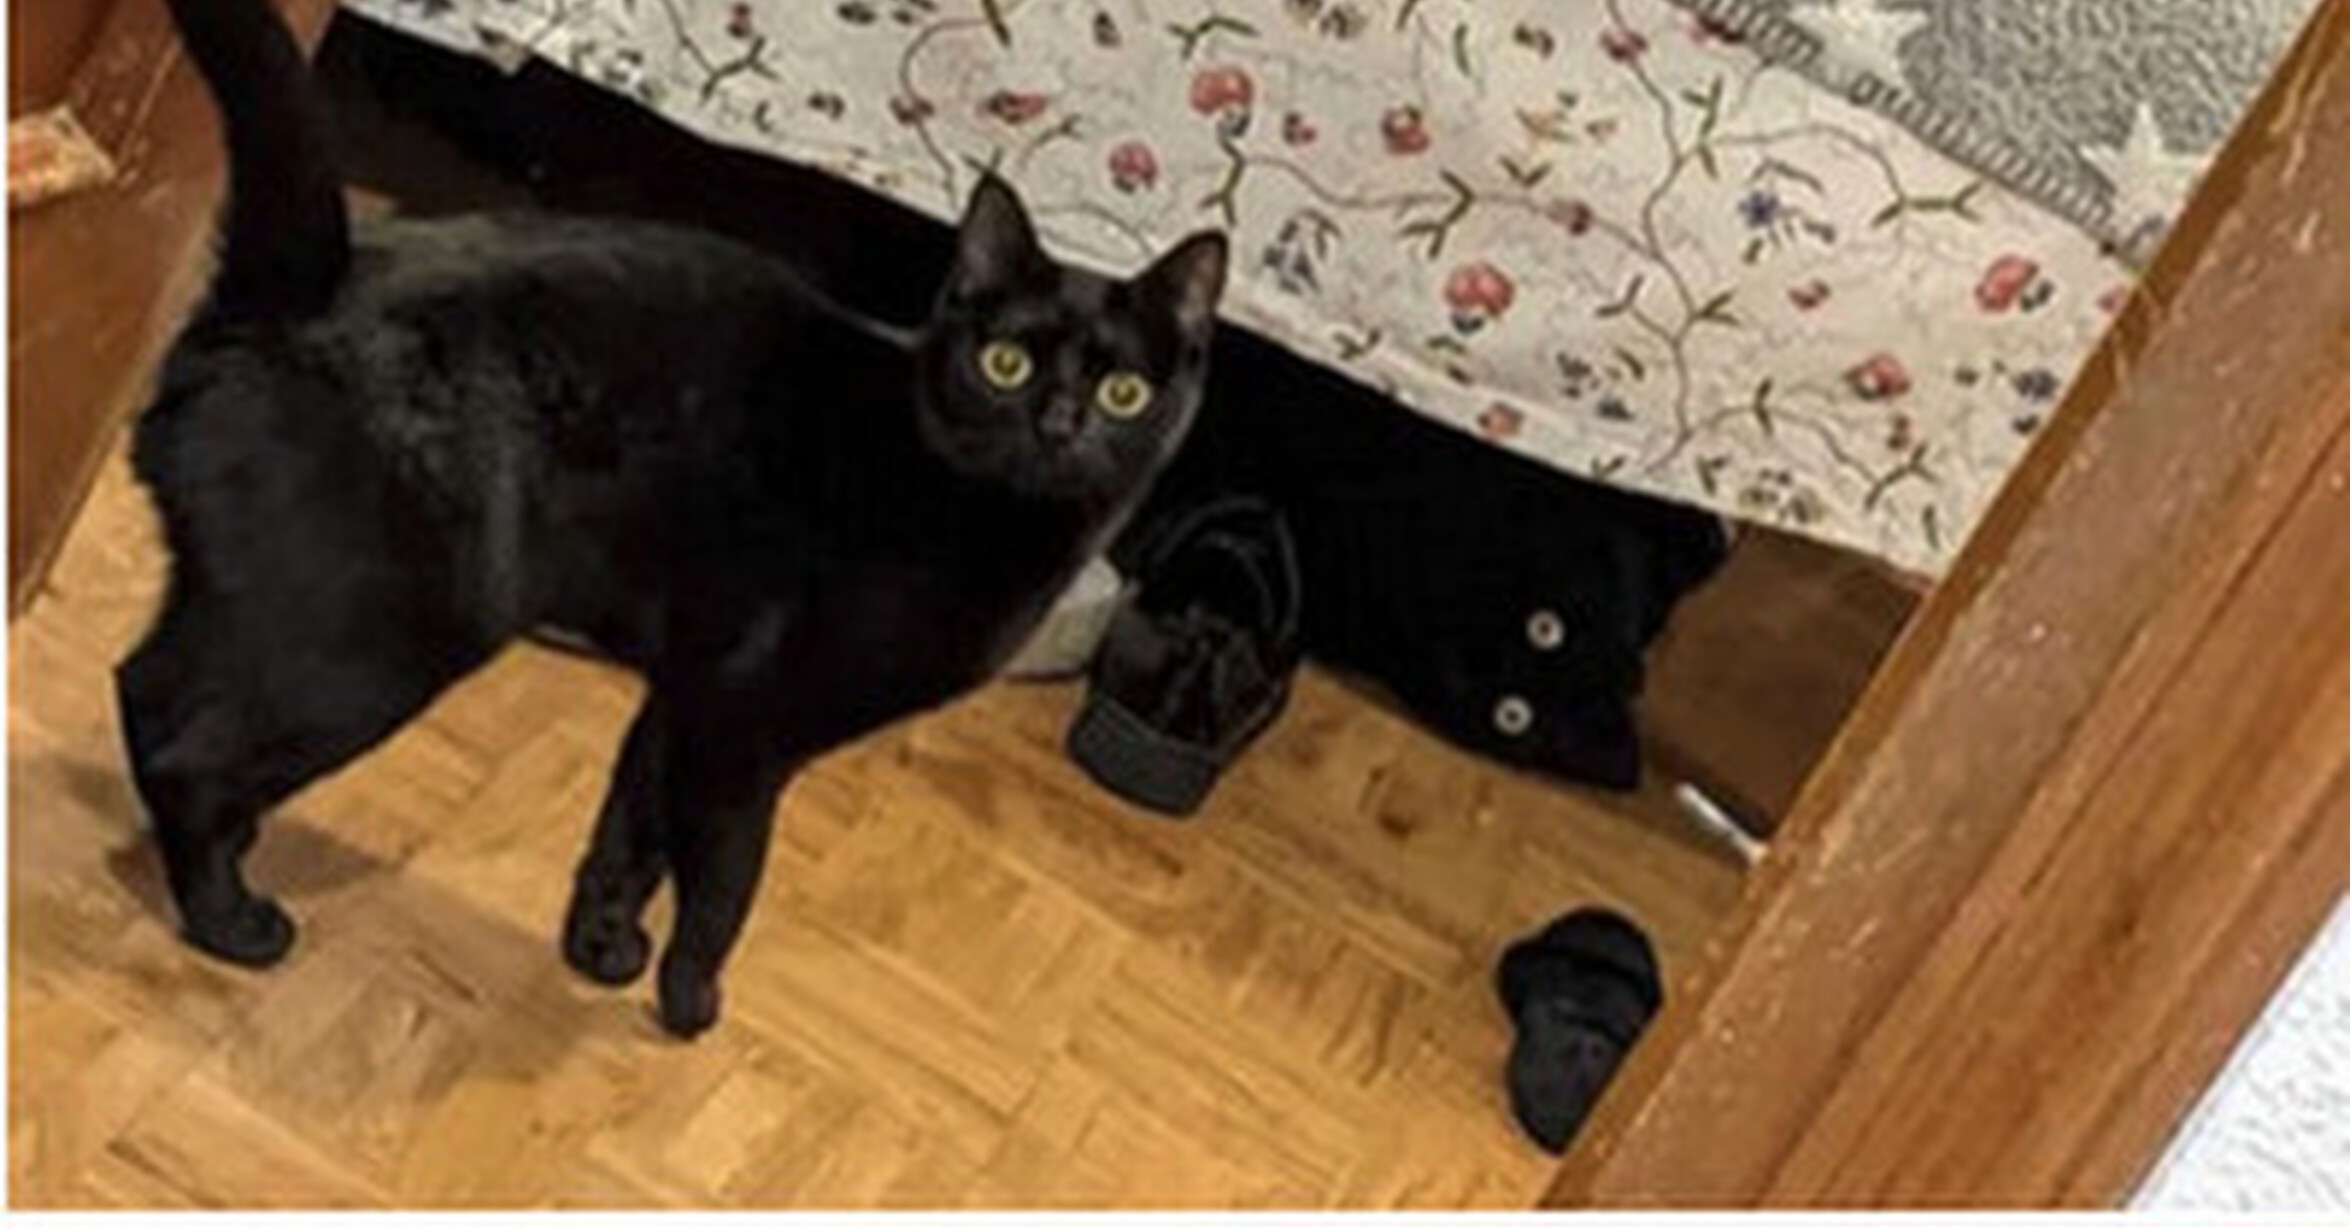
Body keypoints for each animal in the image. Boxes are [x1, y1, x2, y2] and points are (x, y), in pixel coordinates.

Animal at [118, 0, 1227, 1037]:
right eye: (1006, 364)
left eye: (1125, 391)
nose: (1061, 423)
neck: (978, 512)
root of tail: (301, 286)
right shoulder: (744, 720)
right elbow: (728, 880)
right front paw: (692, 1002)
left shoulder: (685, 690)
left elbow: (631, 830)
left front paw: (601, 948)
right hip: (382, 640)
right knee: (185, 747)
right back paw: (231, 918)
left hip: (253, 596)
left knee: (146, 687)